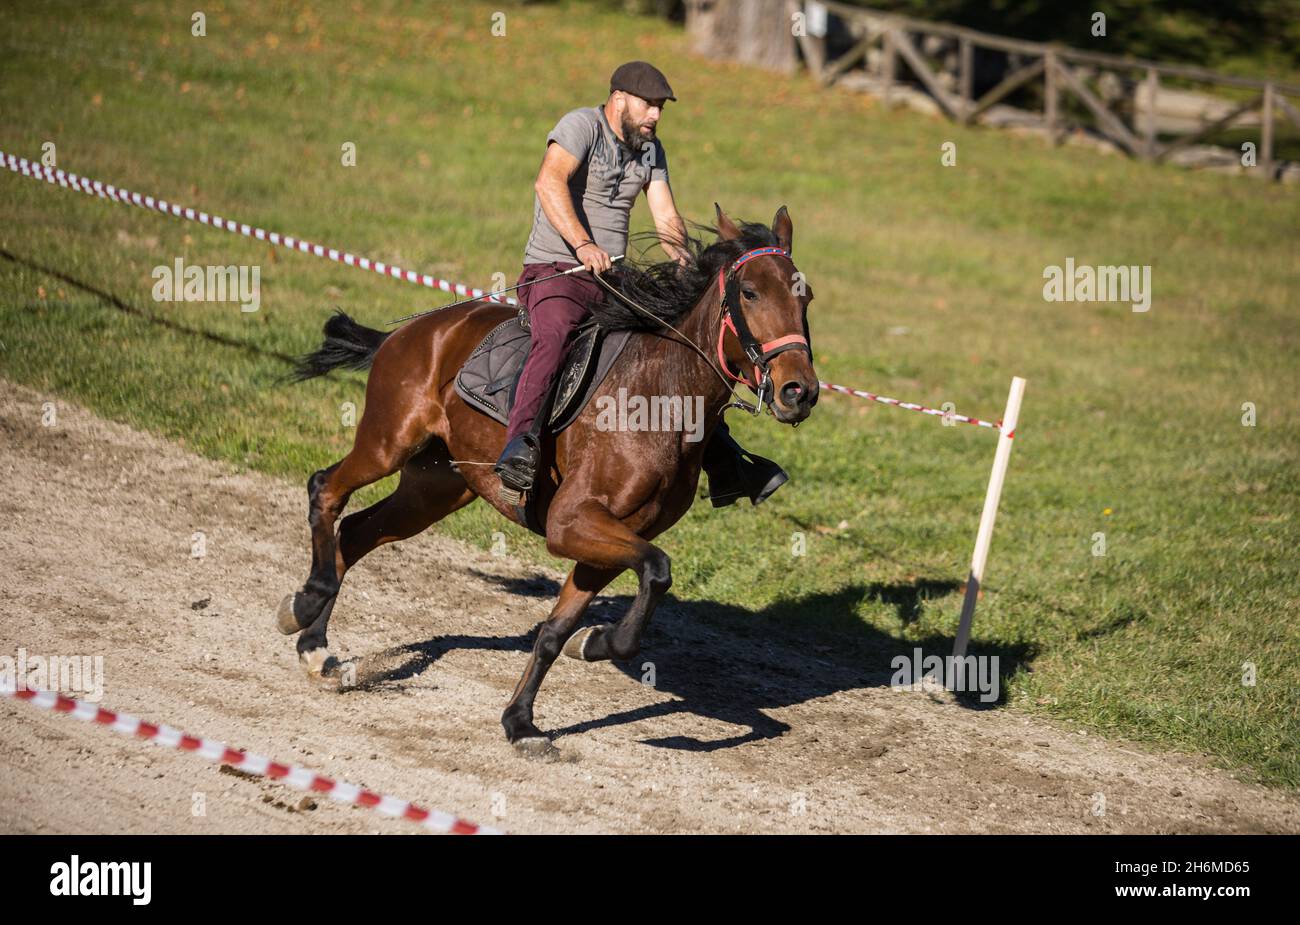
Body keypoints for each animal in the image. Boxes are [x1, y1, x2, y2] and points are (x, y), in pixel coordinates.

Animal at [282, 202, 811, 753]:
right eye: (749, 293)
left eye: (806, 297)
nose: (800, 391)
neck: (658, 397)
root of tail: (411, 332)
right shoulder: (570, 523)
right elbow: (658, 570)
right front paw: (597, 641)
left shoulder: (612, 541)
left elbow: (559, 630)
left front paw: (522, 719)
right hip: (388, 443)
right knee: (326, 490)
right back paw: (306, 603)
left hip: (434, 489)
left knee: (356, 532)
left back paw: (315, 647)